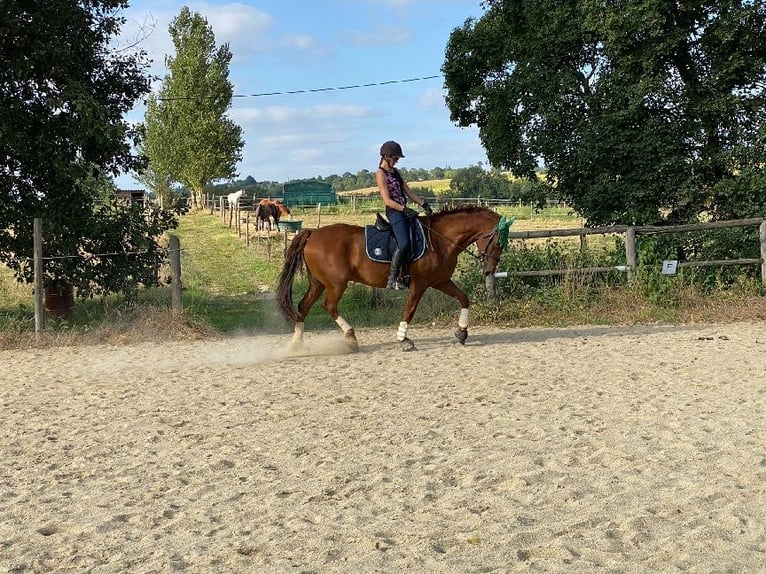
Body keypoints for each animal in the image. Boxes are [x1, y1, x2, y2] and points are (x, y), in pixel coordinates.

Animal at [276, 205, 512, 352]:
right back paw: (351, 337)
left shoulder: (441, 281)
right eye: (498, 242)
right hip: (336, 283)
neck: (441, 239)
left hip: (318, 283)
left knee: (304, 306)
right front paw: (404, 339)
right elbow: (410, 309)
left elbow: (464, 298)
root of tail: (312, 234)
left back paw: (296, 344)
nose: (488, 270)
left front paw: (462, 332)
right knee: (329, 306)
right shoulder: (420, 284)